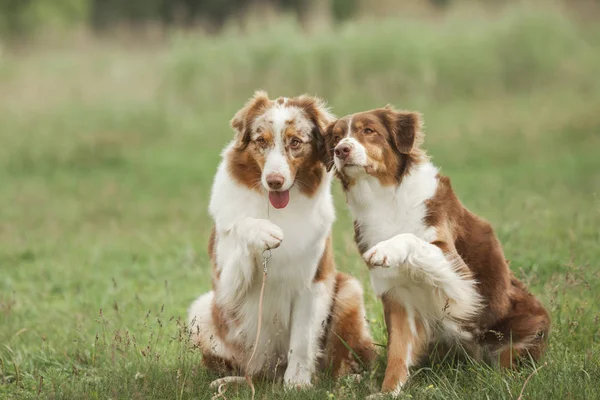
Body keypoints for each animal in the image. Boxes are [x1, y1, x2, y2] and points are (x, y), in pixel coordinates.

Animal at [188, 91, 376, 388]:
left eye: (295, 142)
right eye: (261, 141)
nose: (274, 181)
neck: (277, 210)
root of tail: (268, 373)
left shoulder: (314, 282)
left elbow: (302, 339)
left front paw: (297, 383)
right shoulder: (226, 283)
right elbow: (243, 226)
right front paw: (263, 231)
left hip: (349, 290)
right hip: (203, 309)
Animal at [322, 106, 552, 396]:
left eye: (369, 130)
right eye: (336, 137)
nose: (341, 150)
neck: (384, 198)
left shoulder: (458, 271)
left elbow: (411, 238)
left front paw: (385, 248)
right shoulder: (399, 298)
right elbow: (398, 354)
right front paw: (388, 392)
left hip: (522, 325)